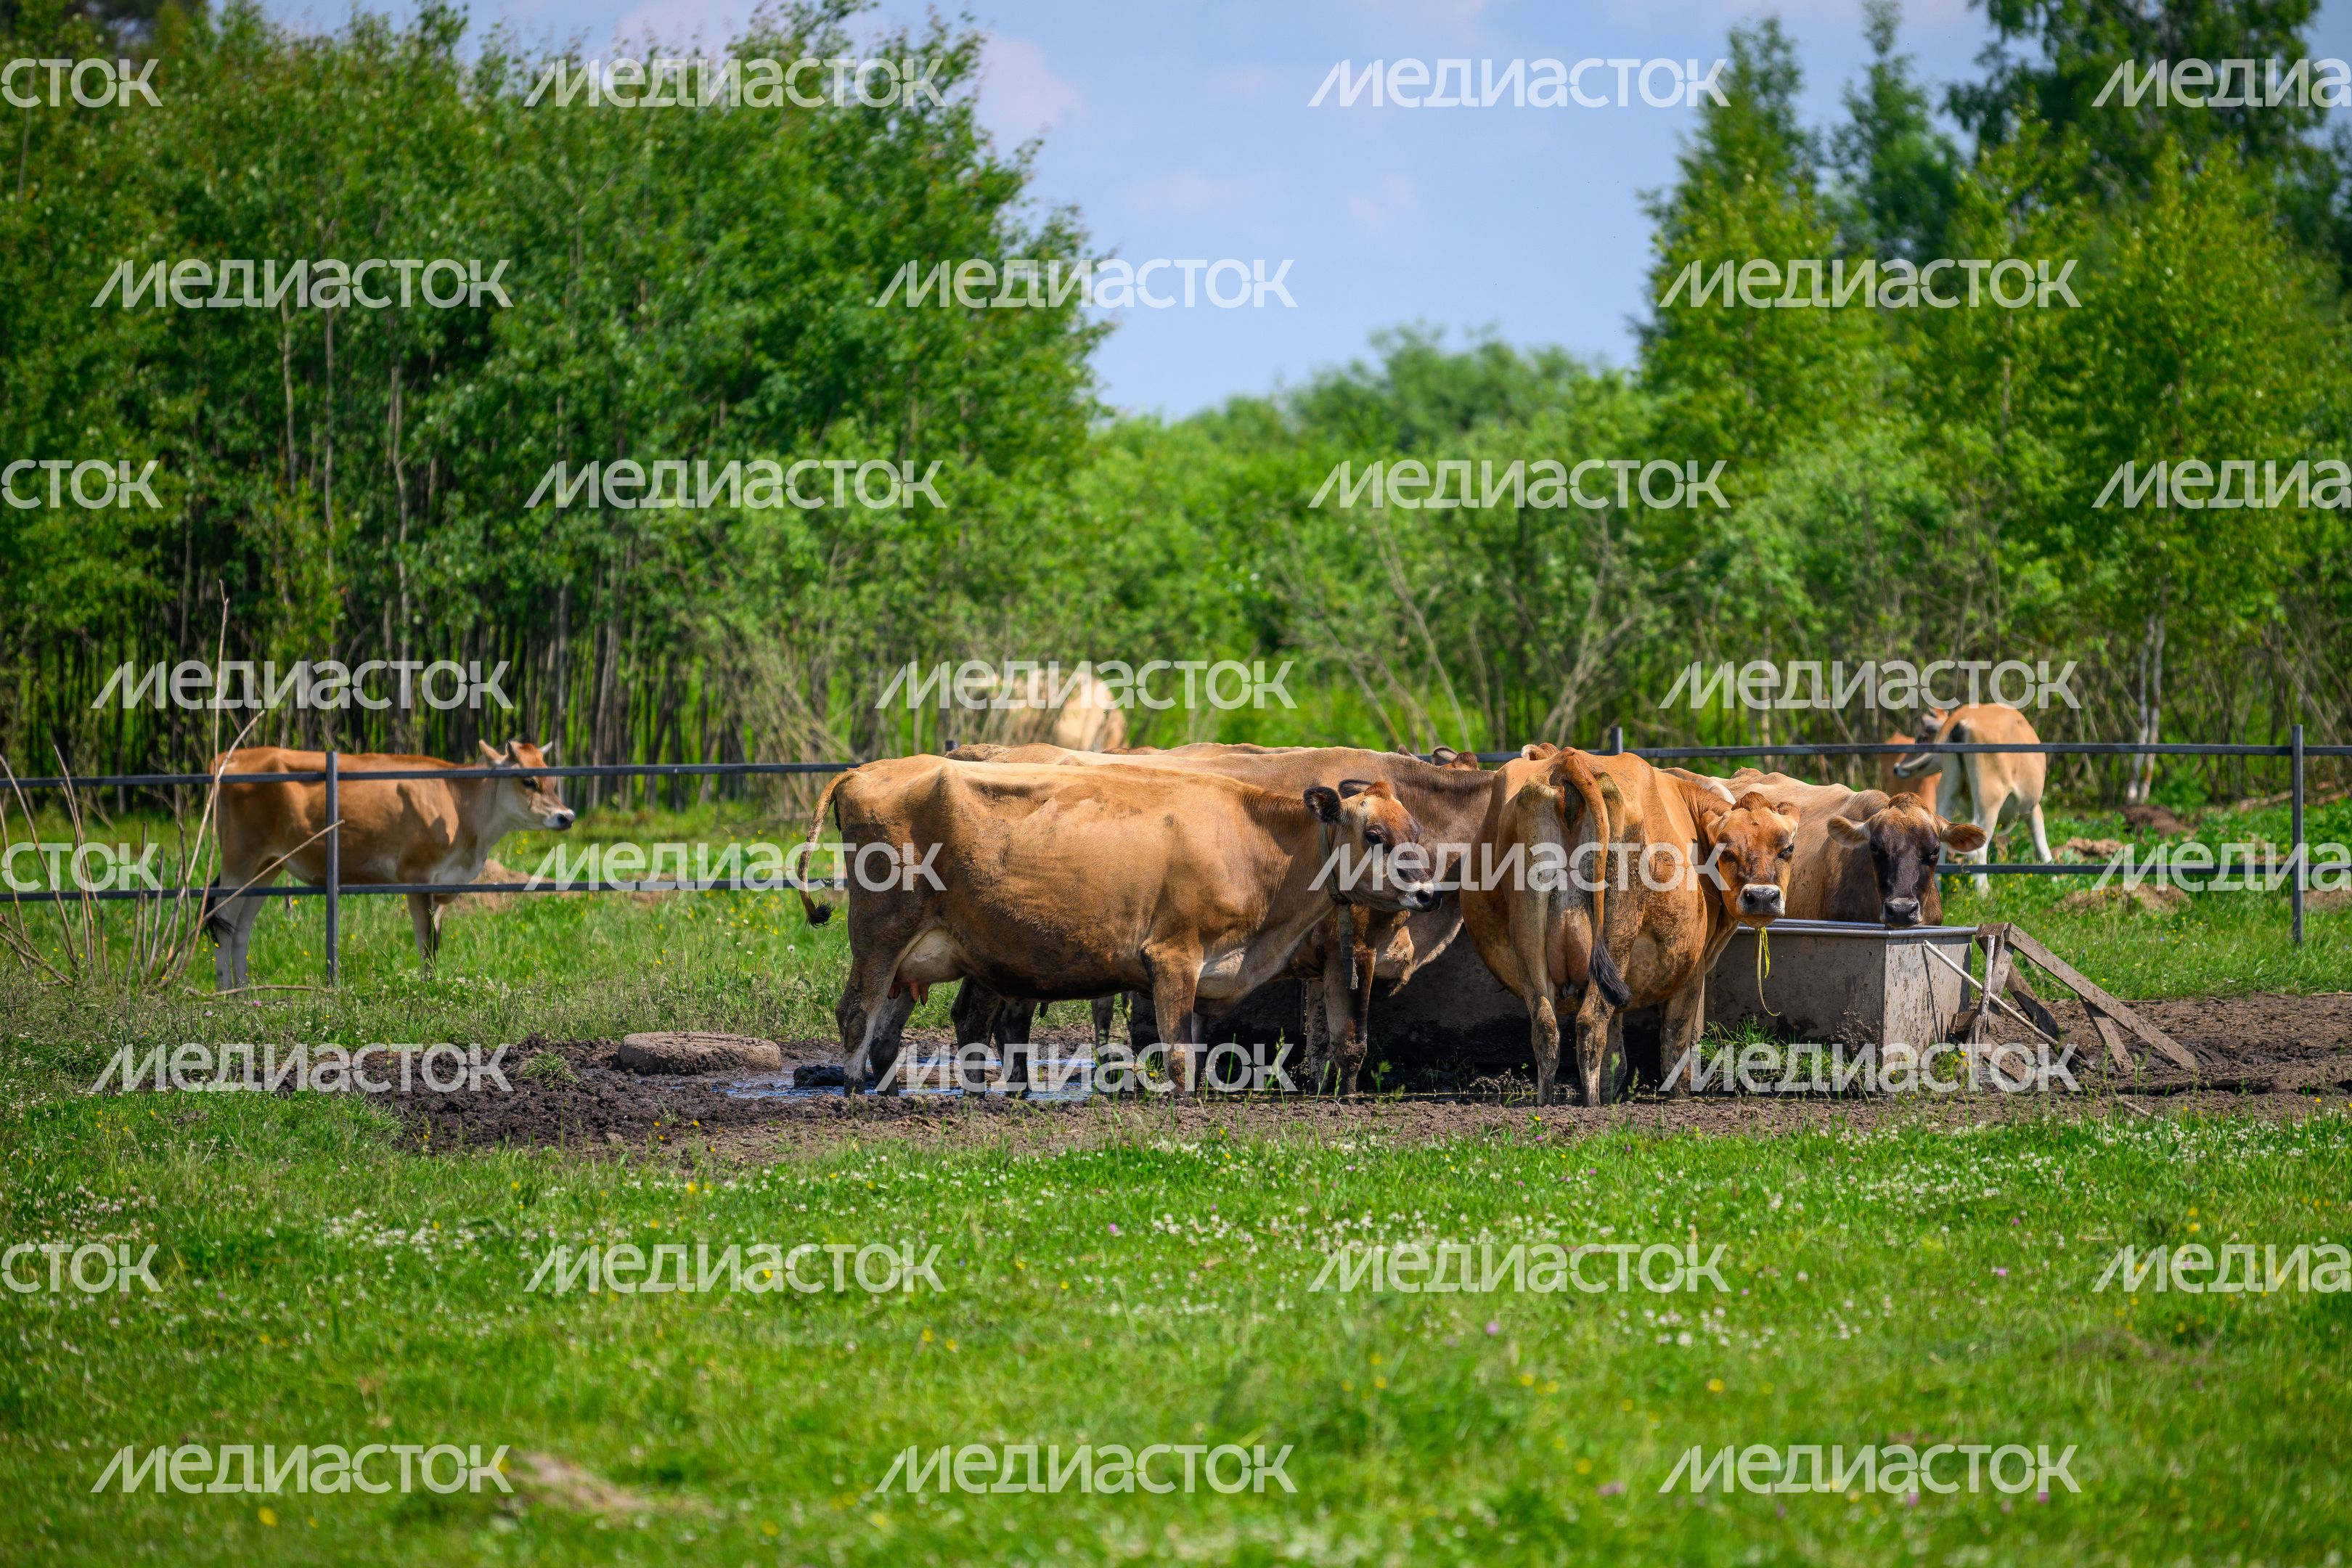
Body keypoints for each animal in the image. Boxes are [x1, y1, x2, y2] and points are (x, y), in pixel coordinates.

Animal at [203, 741, 574, 991]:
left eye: (553, 780)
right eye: (528, 780)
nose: (566, 816)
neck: (461, 806)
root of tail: (231, 757)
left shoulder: (444, 881)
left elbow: (436, 940)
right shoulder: (417, 875)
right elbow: (425, 939)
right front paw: (428, 988)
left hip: (267, 866)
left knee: (241, 927)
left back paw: (244, 992)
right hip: (240, 858)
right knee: (221, 920)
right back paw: (225, 991)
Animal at [799, 757, 1440, 1095]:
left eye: (1415, 830)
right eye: (1376, 836)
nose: (1430, 893)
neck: (1254, 844)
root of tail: (864, 770)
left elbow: (1196, 1048)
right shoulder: (1173, 956)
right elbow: (1177, 1054)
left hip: (923, 952)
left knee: (901, 1021)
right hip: (880, 934)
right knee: (856, 1011)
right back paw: (853, 1092)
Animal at [1464, 751, 1801, 1104]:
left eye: (1788, 848)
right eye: (1726, 848)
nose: (1761, 896)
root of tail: (1569, 759)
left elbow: (1616, 1055)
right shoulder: (1692, 972)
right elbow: (1677, 1046)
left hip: (1530, 941)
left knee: (1546, 1027)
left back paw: (1549, 1102)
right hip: (1616, 936)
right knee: (1590, 1023)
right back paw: (1591, 1105)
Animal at [1892, 705, 2052, 894]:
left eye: (1922, 738)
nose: (1896, 768)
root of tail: (1965, 716)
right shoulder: (2034, 808)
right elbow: (2043, 849)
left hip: (1948, 786)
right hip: (1989, 797)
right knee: (1978, 850)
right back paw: (1983, 893)